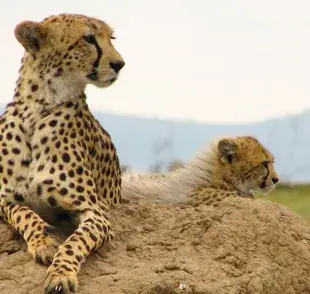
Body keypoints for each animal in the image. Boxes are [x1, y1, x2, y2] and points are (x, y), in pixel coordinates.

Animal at [1, 13, 125, 294]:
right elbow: (24, 214)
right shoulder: (4, 200)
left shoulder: (97, 212)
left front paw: (60, 274)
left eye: (111, 37)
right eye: (88, 38)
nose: (120, 64)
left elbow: (75, 242)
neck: (39, 106)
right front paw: (44, 242)